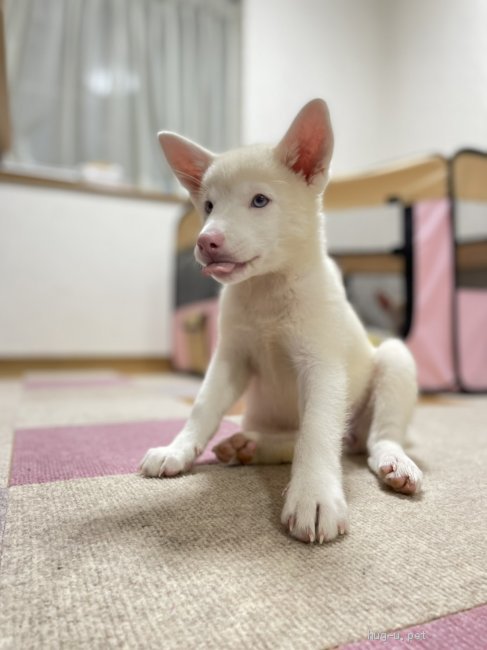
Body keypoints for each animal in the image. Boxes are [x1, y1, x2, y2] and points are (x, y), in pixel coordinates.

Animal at [141, 96, 424, 540]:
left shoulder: (322, 365)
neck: (267, 290)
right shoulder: (231, 358)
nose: (205, 241)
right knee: (328, 439)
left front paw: (314, 496)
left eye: (260, 201)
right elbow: (202, 405)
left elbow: (317, 430)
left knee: (372, 438)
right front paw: (177, 449)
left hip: (394, 361)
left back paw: (395, 462)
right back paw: (250, 445)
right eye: (208, 206)